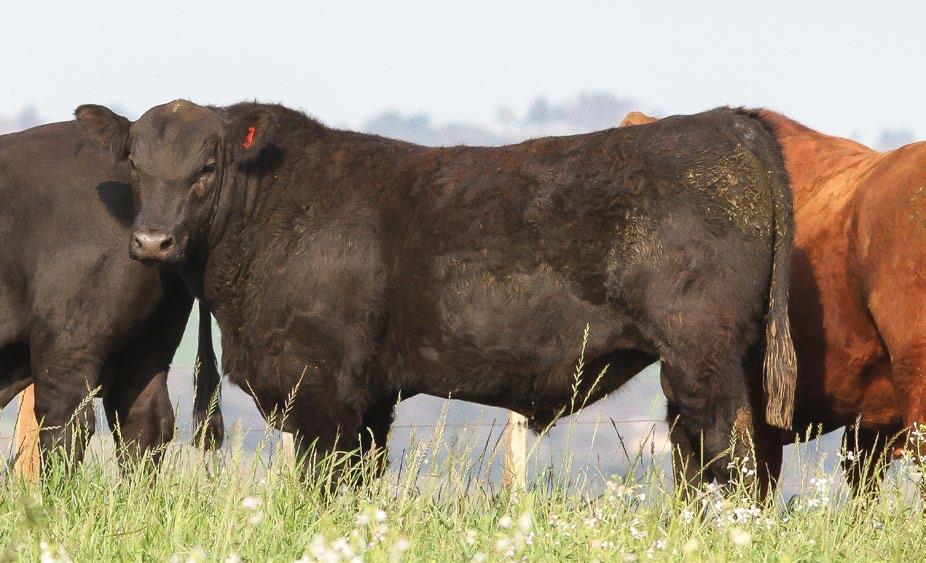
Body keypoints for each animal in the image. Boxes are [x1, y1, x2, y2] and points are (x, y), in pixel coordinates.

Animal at [76, 100, 800, 484]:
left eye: (206, 168)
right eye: (134, 164)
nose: (152, 241)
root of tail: (724, 122)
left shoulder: (324, 387)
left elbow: (325, 483)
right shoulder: (369, 395)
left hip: (703, 355)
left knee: (732, 452)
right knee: (699, 456)